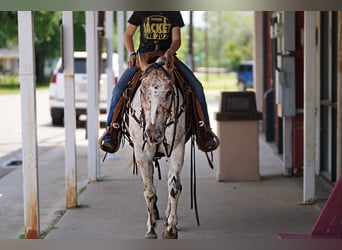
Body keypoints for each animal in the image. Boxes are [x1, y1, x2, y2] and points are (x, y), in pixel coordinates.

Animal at [127, 54, 186, 238]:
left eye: (169, 92)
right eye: (142, 90)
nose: (153, 133)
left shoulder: (177, 148)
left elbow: (174, 187)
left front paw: (171, 228)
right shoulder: (141, 153)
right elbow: (149, 191)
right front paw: (151, 228)